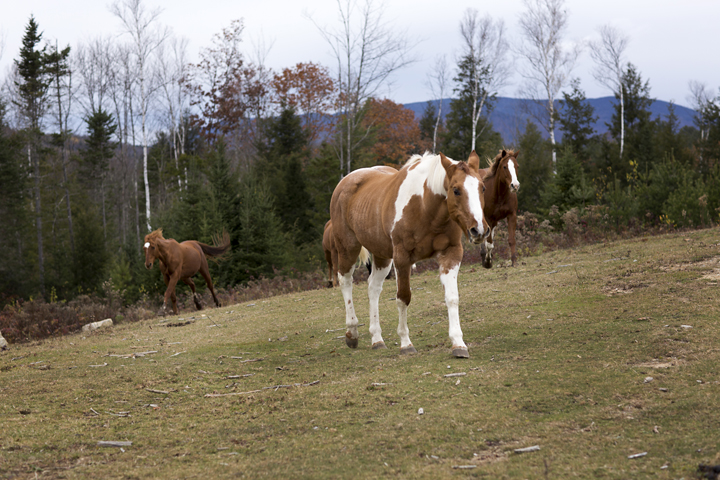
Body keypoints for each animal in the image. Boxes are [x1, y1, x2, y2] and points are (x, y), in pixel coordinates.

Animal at [329, 151, 489, 358]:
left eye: (482, 187)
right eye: (456, 190)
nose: (479, 230)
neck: (425, 207)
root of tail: (346, 181)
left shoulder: (451, 254)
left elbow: (452, 297)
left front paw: (458, 344)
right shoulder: (402, 258)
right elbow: (403, 298)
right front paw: (406, 343)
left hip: (382, 256)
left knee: (373, 287)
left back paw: (377, 339)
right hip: (348, 248)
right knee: (345, 281)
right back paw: (352, 333)